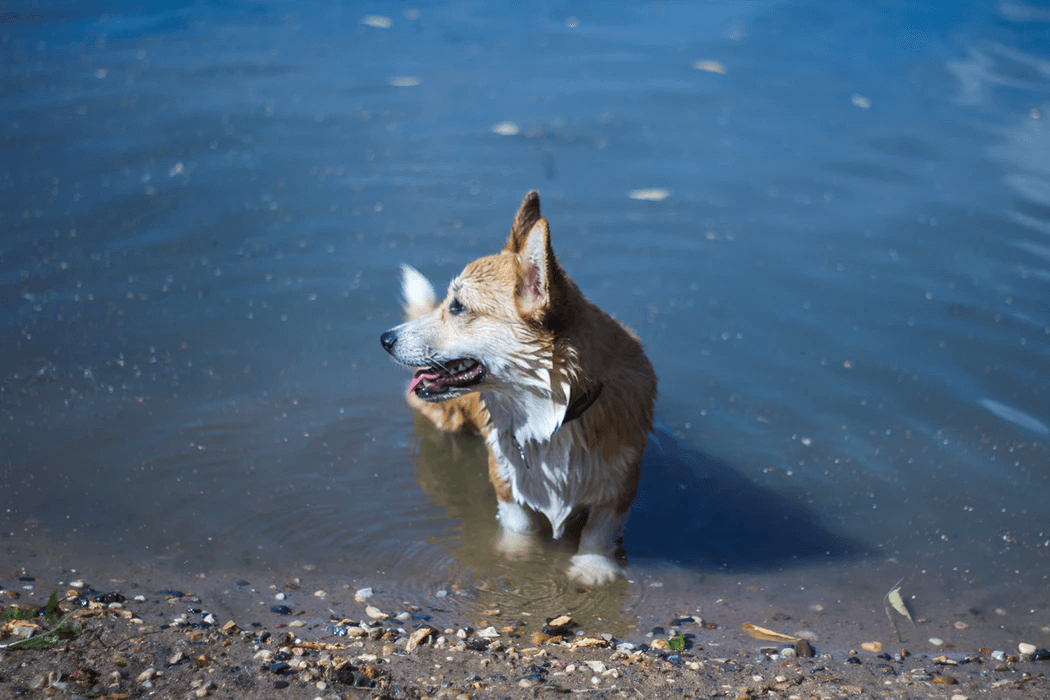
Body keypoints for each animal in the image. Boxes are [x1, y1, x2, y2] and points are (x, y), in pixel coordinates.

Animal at [377, 192, 655, 587]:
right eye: (448, 302)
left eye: (457, 306)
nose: (385, 339)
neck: (552, 415)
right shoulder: (508, 485)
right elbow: (520, 531)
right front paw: (518, 563)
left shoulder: (619, 487)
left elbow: (597, 534)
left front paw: (592, 570)